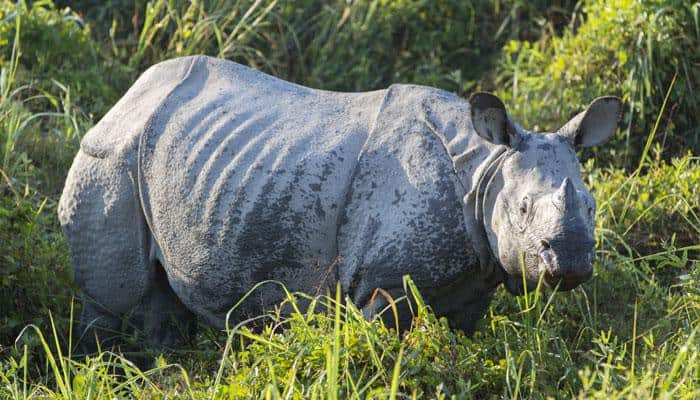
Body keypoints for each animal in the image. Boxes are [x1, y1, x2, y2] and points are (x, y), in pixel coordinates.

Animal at [58, 55, 621, 349]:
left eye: (593, 208)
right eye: (522, 211)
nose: (570, 261)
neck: (486, 171)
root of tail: (124, 100)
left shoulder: (469, 281)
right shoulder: (381, 285)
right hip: (109, 159)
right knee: (112, 298)